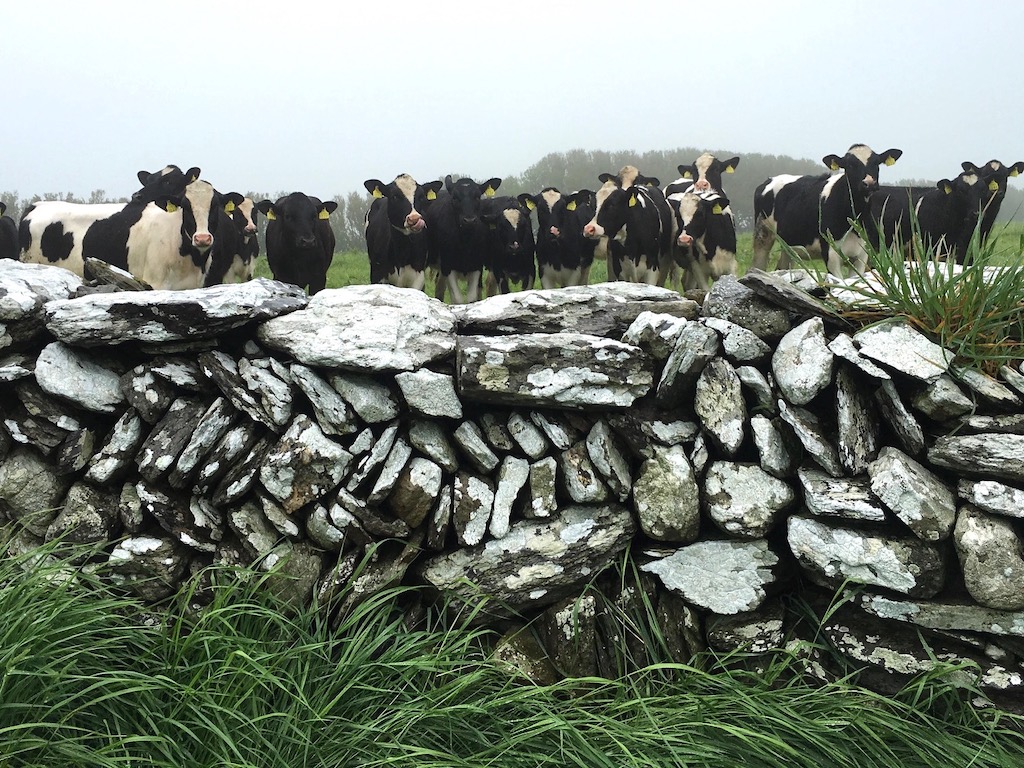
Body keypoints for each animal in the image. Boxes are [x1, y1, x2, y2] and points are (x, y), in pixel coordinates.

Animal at [423, 176, 503, 305]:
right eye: (455, 197)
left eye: (477, 196)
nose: (469, 220)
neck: (466, 243)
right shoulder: (448, 266)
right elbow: (457, 299)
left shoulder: (477, 266)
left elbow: (472, 298)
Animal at [753, 144, 905, 276]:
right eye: (850, 165)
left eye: (876, 163)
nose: (869, 183)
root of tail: (769, 180)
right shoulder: (831, 254)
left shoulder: (861, 255)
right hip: (762, 235)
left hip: (789, 244)